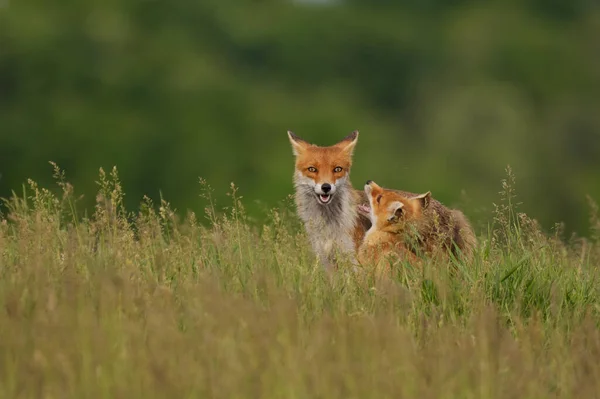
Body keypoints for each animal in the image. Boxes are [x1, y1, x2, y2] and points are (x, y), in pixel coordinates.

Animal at [288, 131, 372, 272]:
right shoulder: (326, 259)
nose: (326, 187)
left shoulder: (355, 260)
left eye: (337, 169)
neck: (329, 226)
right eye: (312, 169)